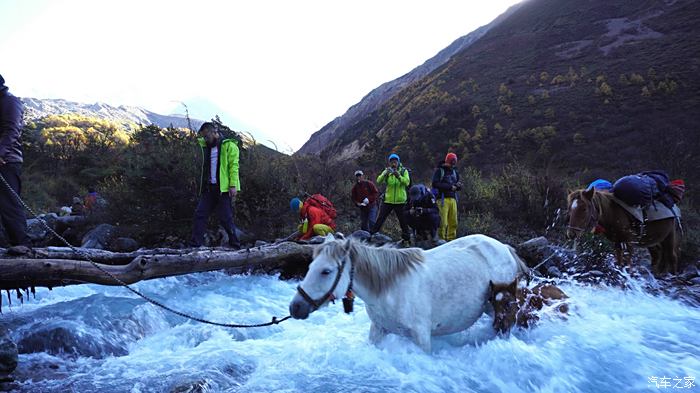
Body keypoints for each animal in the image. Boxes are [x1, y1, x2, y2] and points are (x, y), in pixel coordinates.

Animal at [288, 233, 524, 352]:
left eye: (326, 271)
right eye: (309, 267)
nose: (295, 307)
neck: (391, 290)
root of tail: (504, 247)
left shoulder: (422, 337)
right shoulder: (378, 329)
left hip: (498, 309)